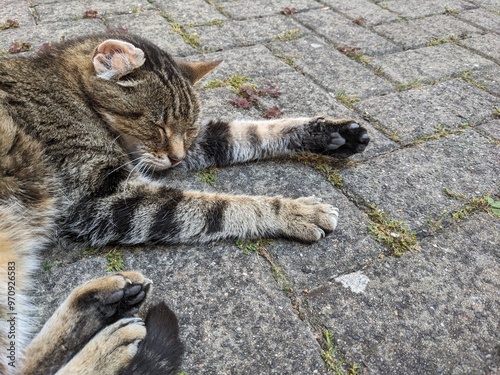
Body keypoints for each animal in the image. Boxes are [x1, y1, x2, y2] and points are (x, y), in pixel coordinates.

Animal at [0, 33, 368, 374]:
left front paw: (327, 133)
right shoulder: (107, 198)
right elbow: (225, 206)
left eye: (188, 128)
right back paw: (108, 345)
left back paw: (100, 301)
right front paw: (293, 211)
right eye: (157, 124)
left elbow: (248, 132)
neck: (71, 92)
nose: (176, 157)